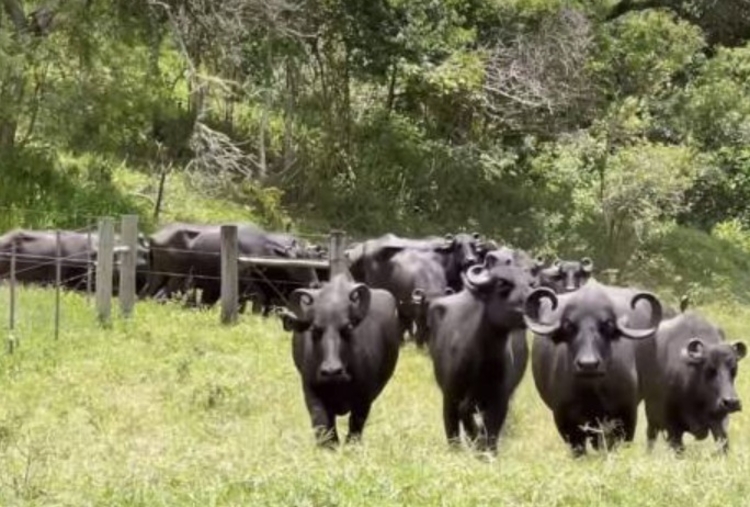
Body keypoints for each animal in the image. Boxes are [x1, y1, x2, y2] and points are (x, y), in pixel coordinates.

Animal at [282, 276, 402, 446]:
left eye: (348, 327)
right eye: (314, 329)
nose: (332, 371)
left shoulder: (364, 397)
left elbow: (355, 426)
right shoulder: (311, 391)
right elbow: (323, 425)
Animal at [428, 249, 536, 452]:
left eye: (530, 283)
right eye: (502, 283)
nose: (535, 303)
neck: (484, 364)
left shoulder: (500, 399)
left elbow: (491, 432)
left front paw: (484, 448)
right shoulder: (450, 394)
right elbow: (456, 424)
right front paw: (468, 442)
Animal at [524, 282, 660, 456]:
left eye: (608, 325)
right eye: (569, 326)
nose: (588, 364)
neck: (591, 390)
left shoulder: (627, 414)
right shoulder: (564, 419)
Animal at [636, 312, 748, 454]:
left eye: (733, 369)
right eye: (710, 369)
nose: (731, 402)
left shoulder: (719, 422)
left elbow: (723, 447)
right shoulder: (672, 426)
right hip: (651, 412)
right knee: (651, 435)